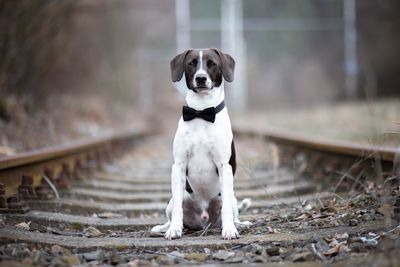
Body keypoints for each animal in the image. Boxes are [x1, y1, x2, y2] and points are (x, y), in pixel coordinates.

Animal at [152, 48, 250, 241]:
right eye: (191, 63)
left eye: (212, 63)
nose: (201, 78)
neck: (201, 112)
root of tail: (204, 222)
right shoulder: (179, 166)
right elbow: (177, 210)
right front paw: (174, 230)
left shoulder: (224, 166)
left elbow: (227, 210)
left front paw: (229, 230)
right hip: (174, 200)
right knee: (173, 211)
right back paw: (165, 227)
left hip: (232, 199)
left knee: (232, 210)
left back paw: (238, 224)